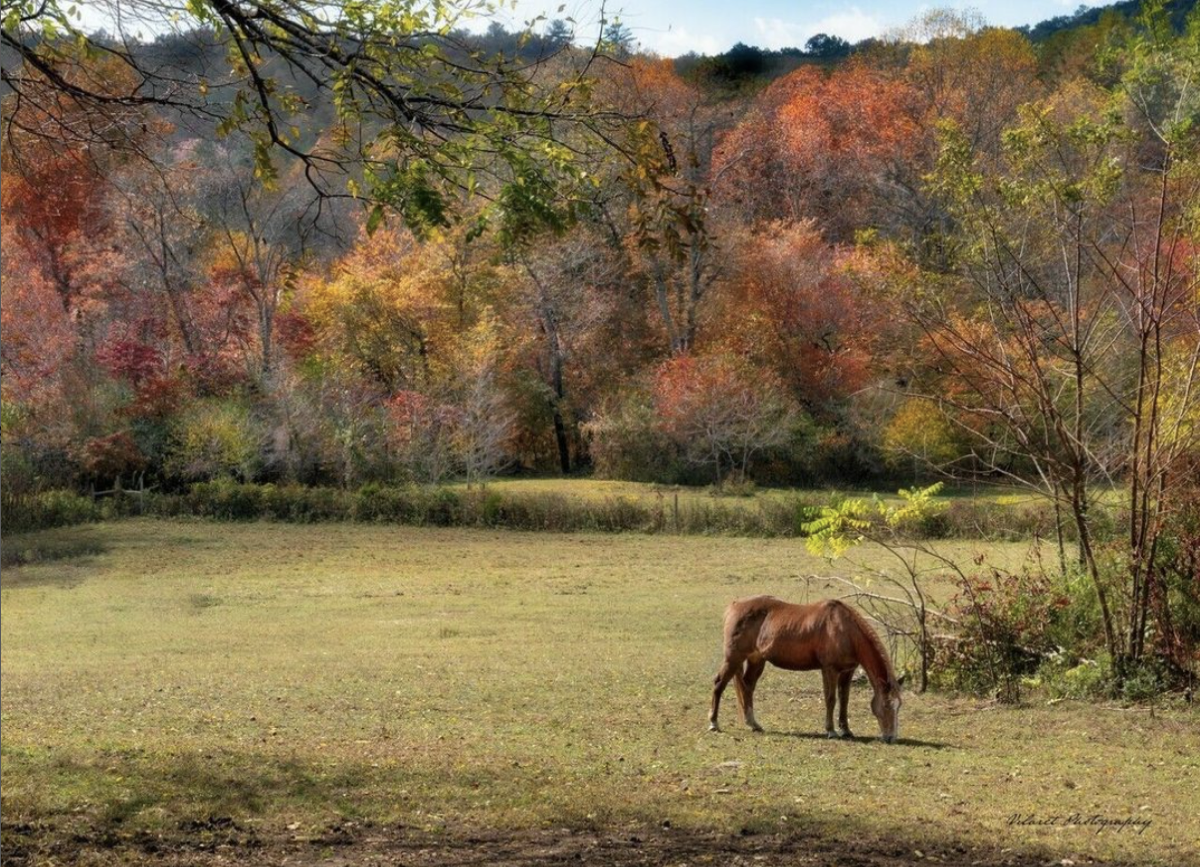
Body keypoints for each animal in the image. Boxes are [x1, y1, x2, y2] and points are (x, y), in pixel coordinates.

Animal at [705, 595, 902, 744]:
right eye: (886, 705)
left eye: (899, 706)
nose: (891, 737)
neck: (843, 629)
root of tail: (734, 606)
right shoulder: (829, 669)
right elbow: (831, 699)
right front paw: (831, 731)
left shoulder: (847, 671)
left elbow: (844, 700)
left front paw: (846, 730)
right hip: (734, 658)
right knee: (719, 684)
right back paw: (714, 723)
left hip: (756, 660)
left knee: (747, 686)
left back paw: (753, 724)